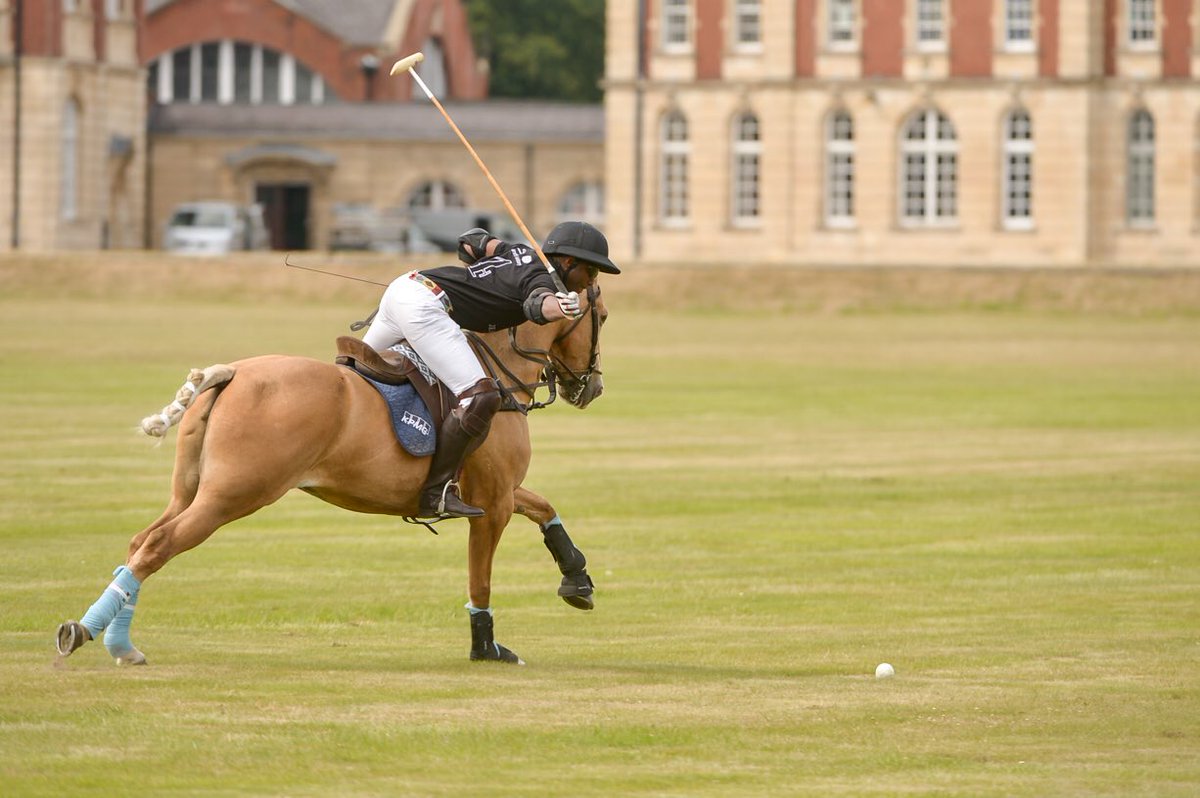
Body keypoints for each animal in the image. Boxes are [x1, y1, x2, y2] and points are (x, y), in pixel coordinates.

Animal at [54, 283, 608, 667]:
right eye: (601, 317)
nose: (592, 388)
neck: (499, 372)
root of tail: (231, 371)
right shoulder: (491, 504)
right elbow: (482, 581)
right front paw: (487, 649)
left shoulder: (500, 493)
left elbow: (544, 507)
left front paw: (577, 579)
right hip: (233, 495)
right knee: (156, 546)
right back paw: (90, 636)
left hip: (191, 491)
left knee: (139, 541)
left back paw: (116, 642)